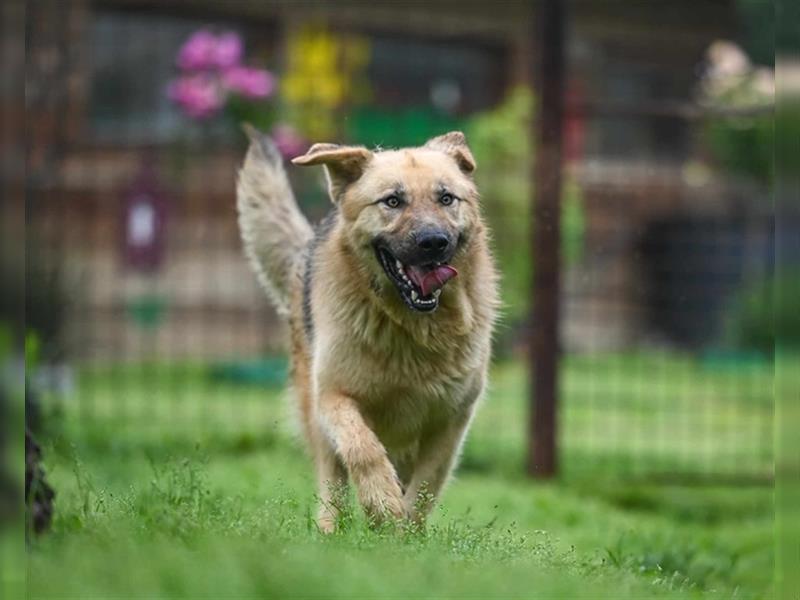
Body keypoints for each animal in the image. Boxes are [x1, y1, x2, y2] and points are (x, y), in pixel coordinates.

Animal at [236, 126, 500, 528]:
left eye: (446, 198)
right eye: (392, 201)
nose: (434, 242)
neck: (410, 327)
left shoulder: (451, 420)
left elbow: (426, 485)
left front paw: (404, 529)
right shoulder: (333, 396)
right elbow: (363, 448)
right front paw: (382, 504)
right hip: (316, 416)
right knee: (332, 484)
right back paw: (330, 530)